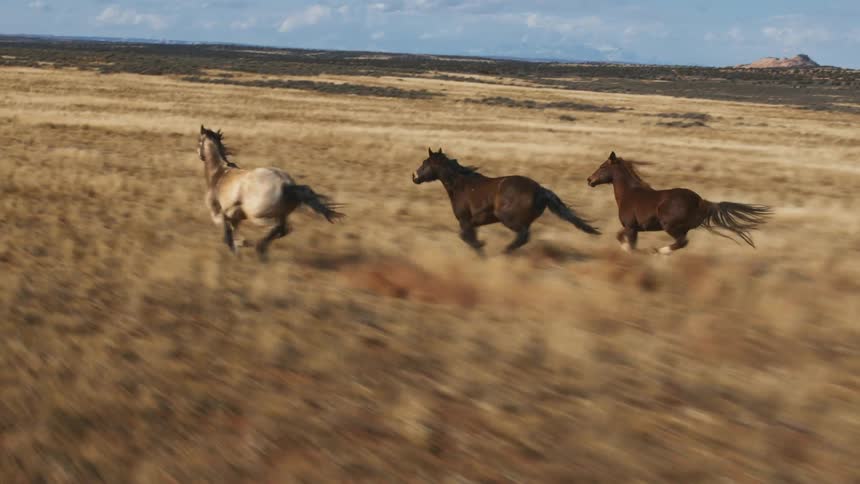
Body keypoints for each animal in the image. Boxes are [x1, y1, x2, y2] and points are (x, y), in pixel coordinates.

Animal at [197, 125, 344, 261]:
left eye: (199, 141)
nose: (200, 155)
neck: (219, 173)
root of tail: (286, 184)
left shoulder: (220, 214)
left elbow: (227, 234)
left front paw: (240, 244)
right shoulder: (235, 217)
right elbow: (232, 232)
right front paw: (240, 245)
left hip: (258, 217)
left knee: (276, 228)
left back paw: (260, 248)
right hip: (281, 215)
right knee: (284, 230)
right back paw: (262, 250)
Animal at [412, 148, 600, 255]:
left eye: (425, 162)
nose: (414, 177)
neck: (461, 185)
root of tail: (541, 190)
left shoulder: (465, 221)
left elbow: (466, 238)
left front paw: (481, 247)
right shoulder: (472, 223)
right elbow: (467, 237)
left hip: (508, 218)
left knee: (523, 236)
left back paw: (505, 251)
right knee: (523, 237)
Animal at [586, 151, 772, 254]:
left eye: (602, 166)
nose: (589, 180)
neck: (629, 194)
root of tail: (701, 201)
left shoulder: (631, 227)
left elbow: (625, 241)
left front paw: (631, 253)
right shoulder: (634, 228)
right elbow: (623, 239)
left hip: (670, 226)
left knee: (682, 242)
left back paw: (659, 251)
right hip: (680, 228)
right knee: (683, 242)